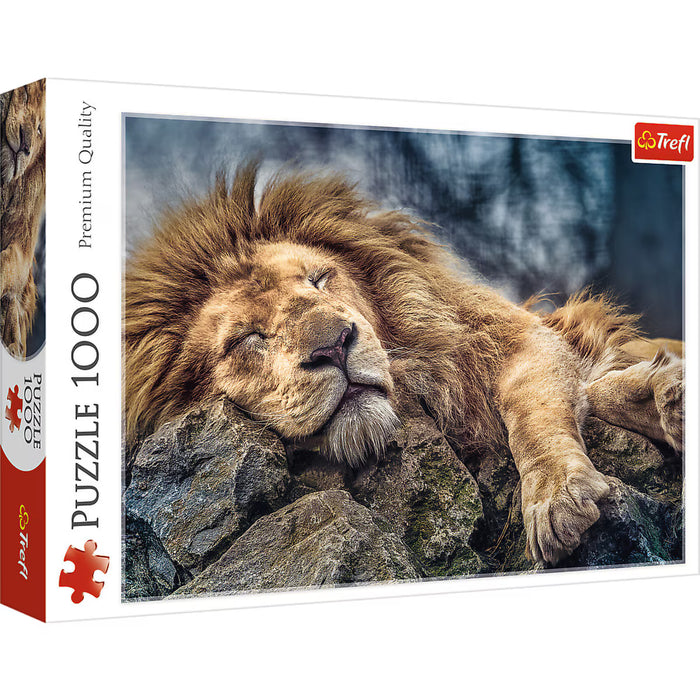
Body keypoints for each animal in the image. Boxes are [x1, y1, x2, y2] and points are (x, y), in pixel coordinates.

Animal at [124, 163, 684, 566]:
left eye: (319, 279)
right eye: (248, 338)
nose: (334, 346)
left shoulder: (515, 338)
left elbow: (534, 413)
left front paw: (558, 495)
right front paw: (659, 397)